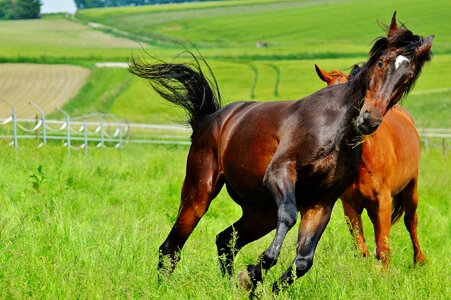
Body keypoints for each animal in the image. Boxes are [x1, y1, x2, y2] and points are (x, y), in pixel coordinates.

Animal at [316, 64, 426, 266]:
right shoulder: (350, 205)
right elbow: (361, 249)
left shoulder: (383, 201)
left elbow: (384, 248)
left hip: (411, 187)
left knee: (411, 221)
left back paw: (419, 260)